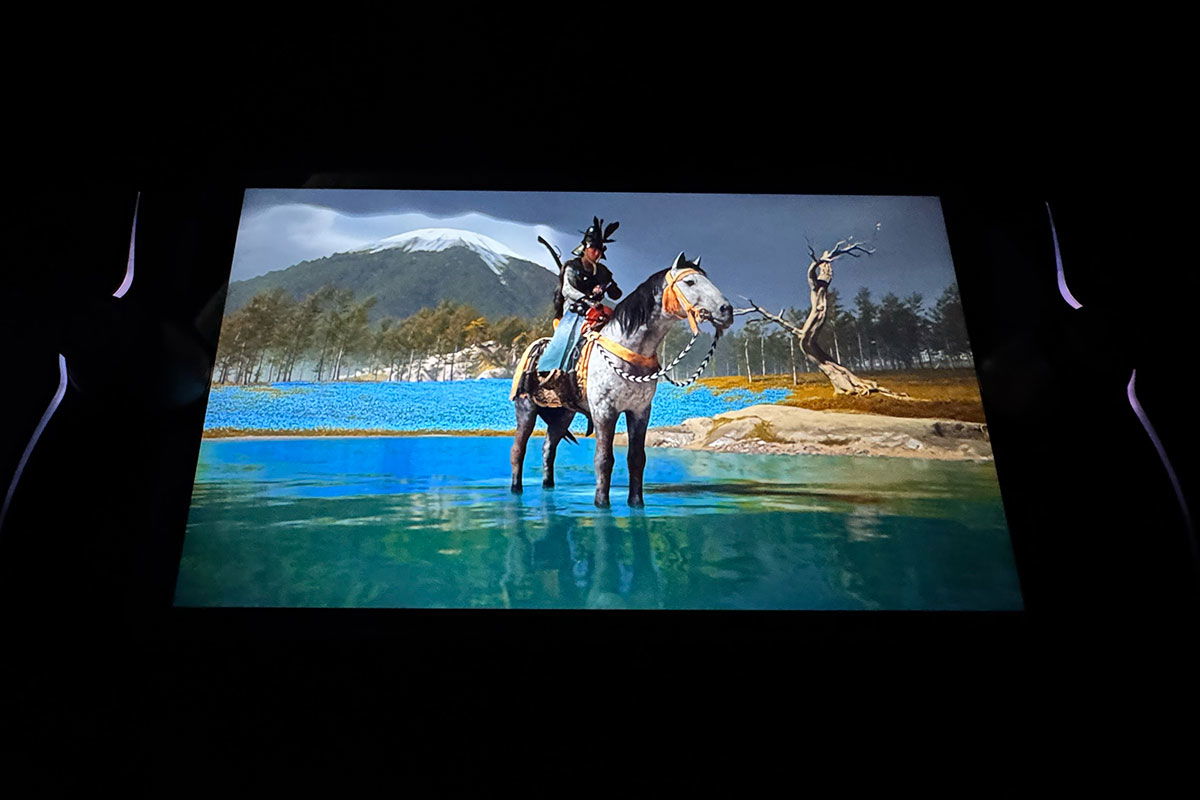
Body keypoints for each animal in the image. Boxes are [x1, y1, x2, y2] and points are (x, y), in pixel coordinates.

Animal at [510, 253, 734, 507]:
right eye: (690, 282)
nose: (726, 310)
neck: (628, 348)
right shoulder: (604, 411)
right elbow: (604, 459)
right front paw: (601, 503)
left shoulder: (639, 411)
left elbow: (636, 458)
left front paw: (636, 503)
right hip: (526, 409)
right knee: (518, 450)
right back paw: (516, 490)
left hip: (563, 415)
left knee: (548, 448)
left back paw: (548, 488)